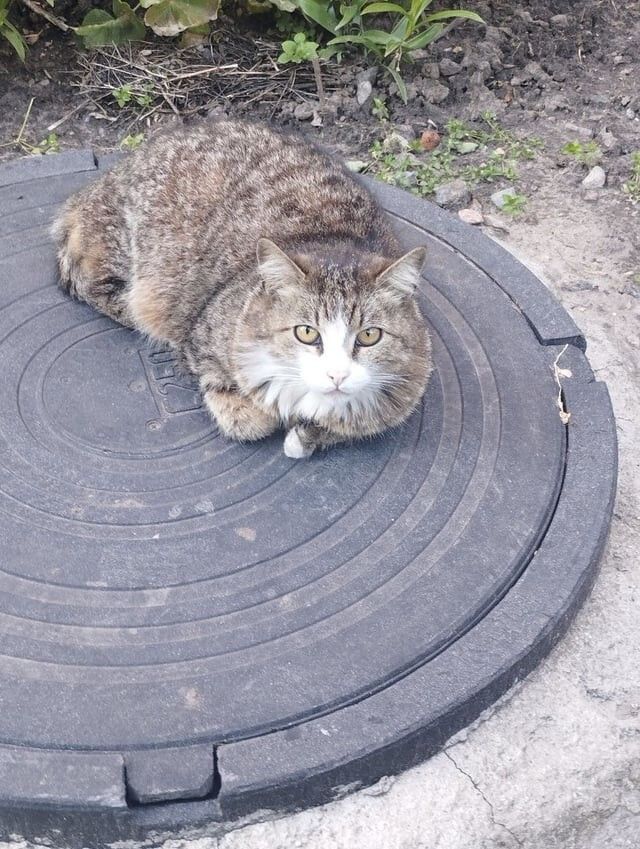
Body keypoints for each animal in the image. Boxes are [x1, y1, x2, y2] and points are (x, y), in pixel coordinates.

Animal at [52, 120, 432, 458]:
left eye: (369, 336)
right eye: (306, 332)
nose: (336, 375)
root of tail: (110, 175)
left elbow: (341, 427)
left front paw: (308, 434)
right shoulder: (202, 332)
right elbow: (238, 405)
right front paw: (260, 413)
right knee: (88, 283)